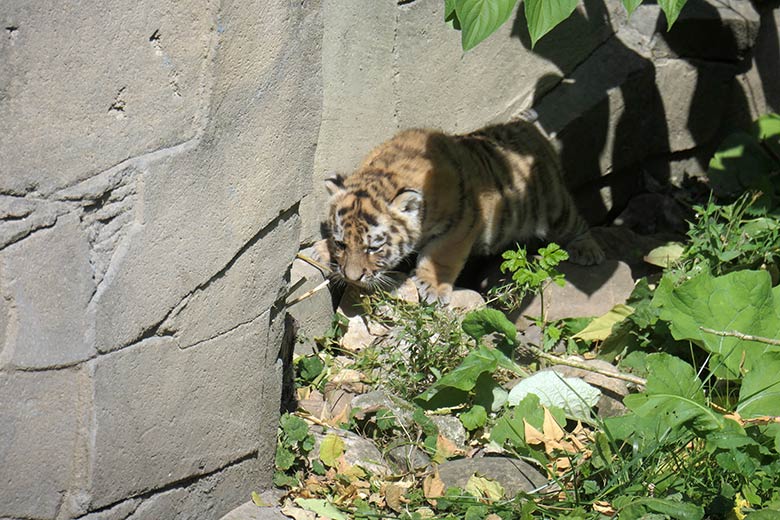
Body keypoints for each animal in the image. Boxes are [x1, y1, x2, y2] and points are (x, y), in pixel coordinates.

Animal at [316, 116, 605, 303]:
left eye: (374, 248)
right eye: (341, 244)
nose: (352, 278)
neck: (386, 172)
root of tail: (527, 127)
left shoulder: (463, 222)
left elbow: (440, 255)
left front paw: (432, 287)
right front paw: (321, 250)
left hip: (554, 207)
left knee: (576, 223)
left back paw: (588, 250)